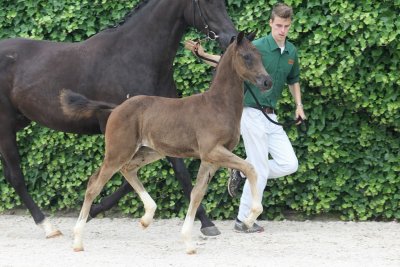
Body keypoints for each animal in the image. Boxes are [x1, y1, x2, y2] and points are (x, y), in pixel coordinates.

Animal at [0, 0, 236, 239]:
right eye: (207, 2)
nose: (232, 37)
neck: (132, 57)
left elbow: (159, 172)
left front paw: (93, 211)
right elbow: (142, 172)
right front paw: (206, 223)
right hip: (5, 127)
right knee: (15, 176)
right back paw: (48, 226)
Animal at [60, 31, 272, 255]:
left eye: (260, 55)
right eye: (246, 56)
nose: (267, 82)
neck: (218, 105)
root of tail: (116, 108)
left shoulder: (211, 160)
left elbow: (197, 193)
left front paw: (189, 241)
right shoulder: (212, 152)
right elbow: (250, 168)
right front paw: (250, 218)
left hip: (149, 152)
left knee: (127, 170)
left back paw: (147, 217)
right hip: (119, 152)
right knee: (94, 185)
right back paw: (77, 240)